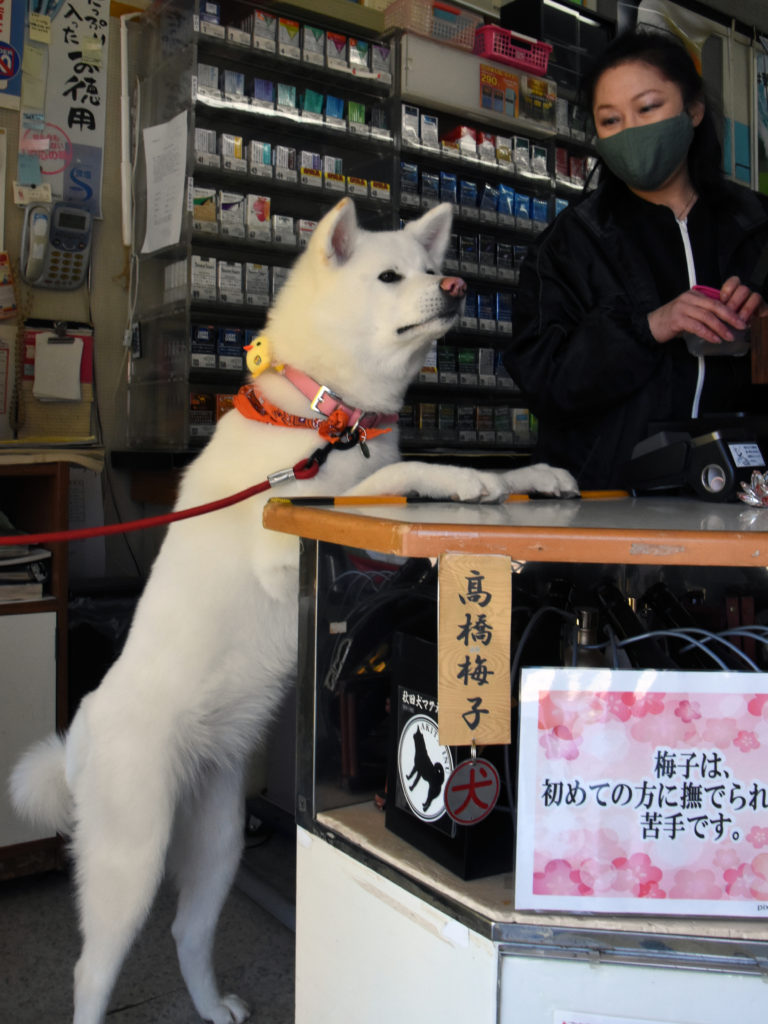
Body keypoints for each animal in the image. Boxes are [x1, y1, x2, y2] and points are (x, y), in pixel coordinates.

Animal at [9, 201, 577, 1024]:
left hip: (216, 842)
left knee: (186, 931)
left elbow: (419, 477)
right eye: (390, 275)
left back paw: (214, 1007)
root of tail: (78, 737)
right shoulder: (286, 544)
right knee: (92, 968)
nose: (458, 285)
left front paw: (532, 474)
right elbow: (390, 477)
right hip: (131, 857)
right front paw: (465, 482)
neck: (326, 418)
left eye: (430, 264)